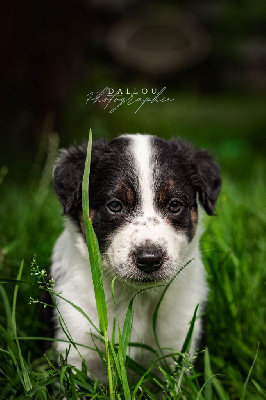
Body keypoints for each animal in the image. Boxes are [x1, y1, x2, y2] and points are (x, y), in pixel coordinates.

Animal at [51, 134, 221, 382]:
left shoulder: (180, 346)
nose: (149, 259)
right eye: (114, 205)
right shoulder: (74, 346)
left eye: (175, 205)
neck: (136, 298)